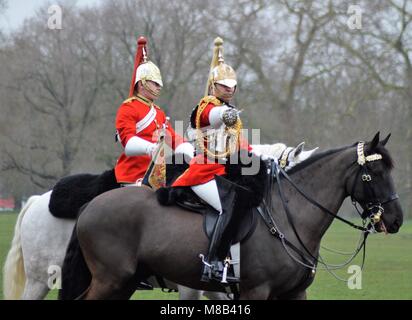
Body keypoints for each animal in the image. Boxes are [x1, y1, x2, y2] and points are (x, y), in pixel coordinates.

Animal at [60, 131, 402, 298]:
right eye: (373, 172)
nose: (397, 219)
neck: (289, 215)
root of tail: (92, 204)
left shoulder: (293, 293)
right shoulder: (255, 291)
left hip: (125, 282)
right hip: (110, 280)